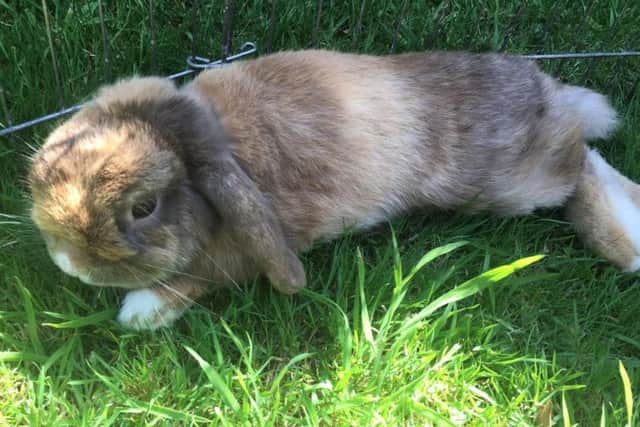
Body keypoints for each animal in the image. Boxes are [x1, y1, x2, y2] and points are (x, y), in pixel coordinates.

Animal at [29, 49, 633, 331]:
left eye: (145, 207)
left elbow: (193, 280)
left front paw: (139, 312)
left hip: (513, 181)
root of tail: (547, 86)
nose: (69, 264)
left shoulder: (243, 254)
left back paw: (623, 245)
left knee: (580, 159)